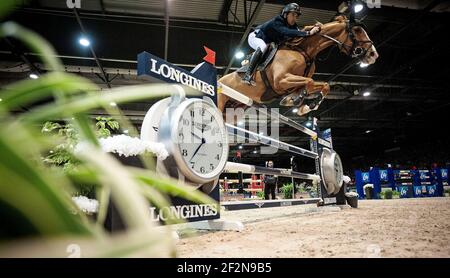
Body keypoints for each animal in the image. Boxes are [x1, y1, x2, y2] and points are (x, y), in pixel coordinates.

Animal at [218, 14, 380, 116]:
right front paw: (295, 100)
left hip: (235, 110)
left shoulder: (291, 83)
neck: (303, 51)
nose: (373, 55)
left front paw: (306, 105)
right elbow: (309, 82)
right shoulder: (281, 80)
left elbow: (323, 85)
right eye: (357, 30)